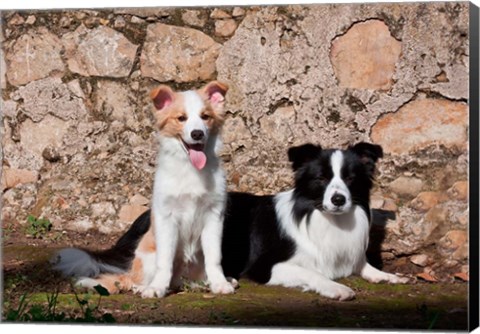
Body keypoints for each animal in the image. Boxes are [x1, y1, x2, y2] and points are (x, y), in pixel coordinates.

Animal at [53, 81, 235, 298]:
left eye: (205, 116)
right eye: (181, 118)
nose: (197, 133)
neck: (191, 170)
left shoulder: (213, 216)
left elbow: (214, 258)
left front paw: (219, 283)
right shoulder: (167, 217)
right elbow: (165, 262)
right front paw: (156, 288)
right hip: (147, 254)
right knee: (137, 280)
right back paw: (144, 286)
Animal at [221, 142, 404, 302]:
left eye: (350, 178)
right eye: (321, 178)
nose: (338, 200)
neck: (330, 220)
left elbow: (363, 264)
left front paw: (386, 276)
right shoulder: (264, 266)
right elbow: (313, 273)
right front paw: (337, 288)